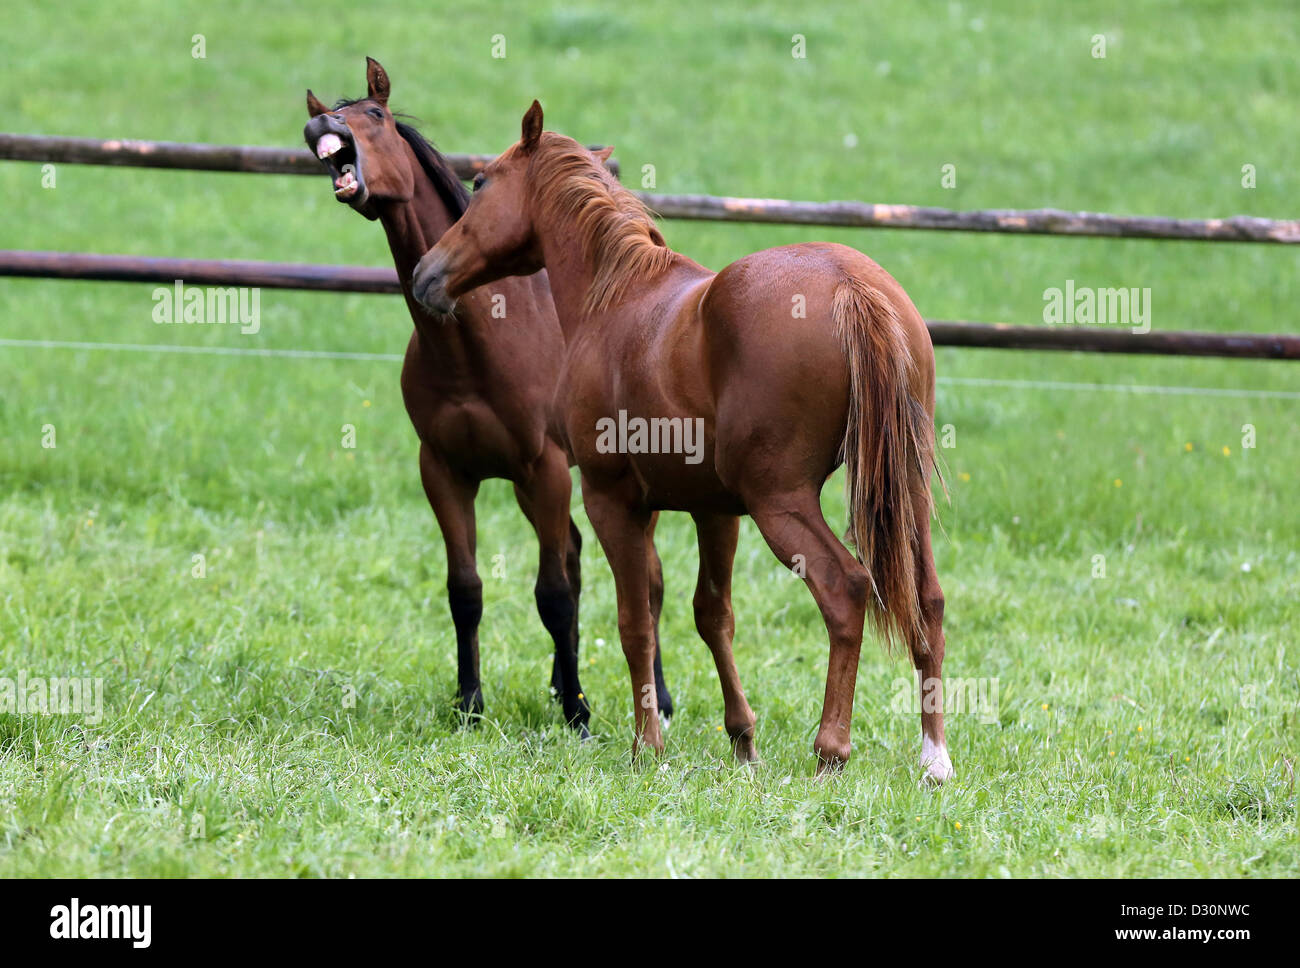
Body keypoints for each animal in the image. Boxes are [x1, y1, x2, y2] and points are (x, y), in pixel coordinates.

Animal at [302, 61, 674, 736]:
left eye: (374, 115)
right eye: (324, 114)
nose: (322, 126)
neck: (471, 346)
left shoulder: (543, 469)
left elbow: (553, 594)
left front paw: (579, 713)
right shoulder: (445, 471)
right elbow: (466, 590)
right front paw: (470, 703)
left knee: (647, 580)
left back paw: (653, 695)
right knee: (578, 558)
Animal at [410, 101, 953, 782]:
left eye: (481, 183)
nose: (425, 275)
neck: (616, 298)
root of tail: (853, 285)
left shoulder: (612, 502)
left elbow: (635, 624)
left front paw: (647, 746)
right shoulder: (713, 512)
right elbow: (711, 615)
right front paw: (742, 741)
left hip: (782, 505)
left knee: (845, 589)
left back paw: (831, 749)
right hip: (902, 490)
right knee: (927, 600)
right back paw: (935, 759)